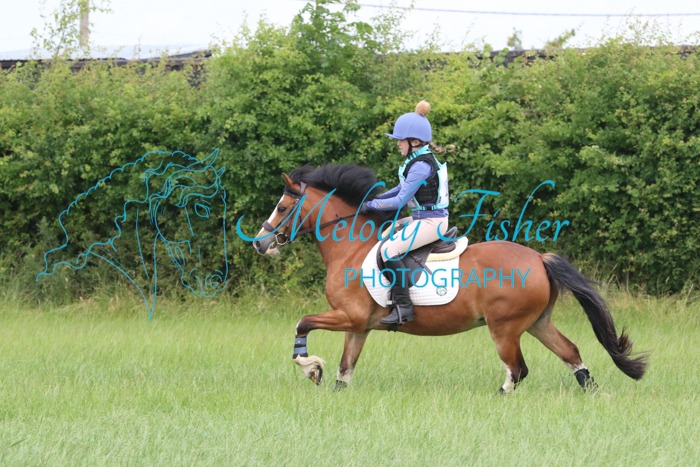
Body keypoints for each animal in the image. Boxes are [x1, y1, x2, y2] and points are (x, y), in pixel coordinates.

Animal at [247, 164, 647, 392]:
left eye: (282, 207)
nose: (260, 243)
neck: (351, 248)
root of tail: (538, 258)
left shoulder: (349, 316)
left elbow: (302, 323)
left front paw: (310, 368)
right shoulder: (358, 325)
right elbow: (345, 370)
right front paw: (329, 385)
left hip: (504, 328)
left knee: (517, 370)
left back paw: (498, 398)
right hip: (536, 322)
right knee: (571, 353)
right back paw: (592, 392)